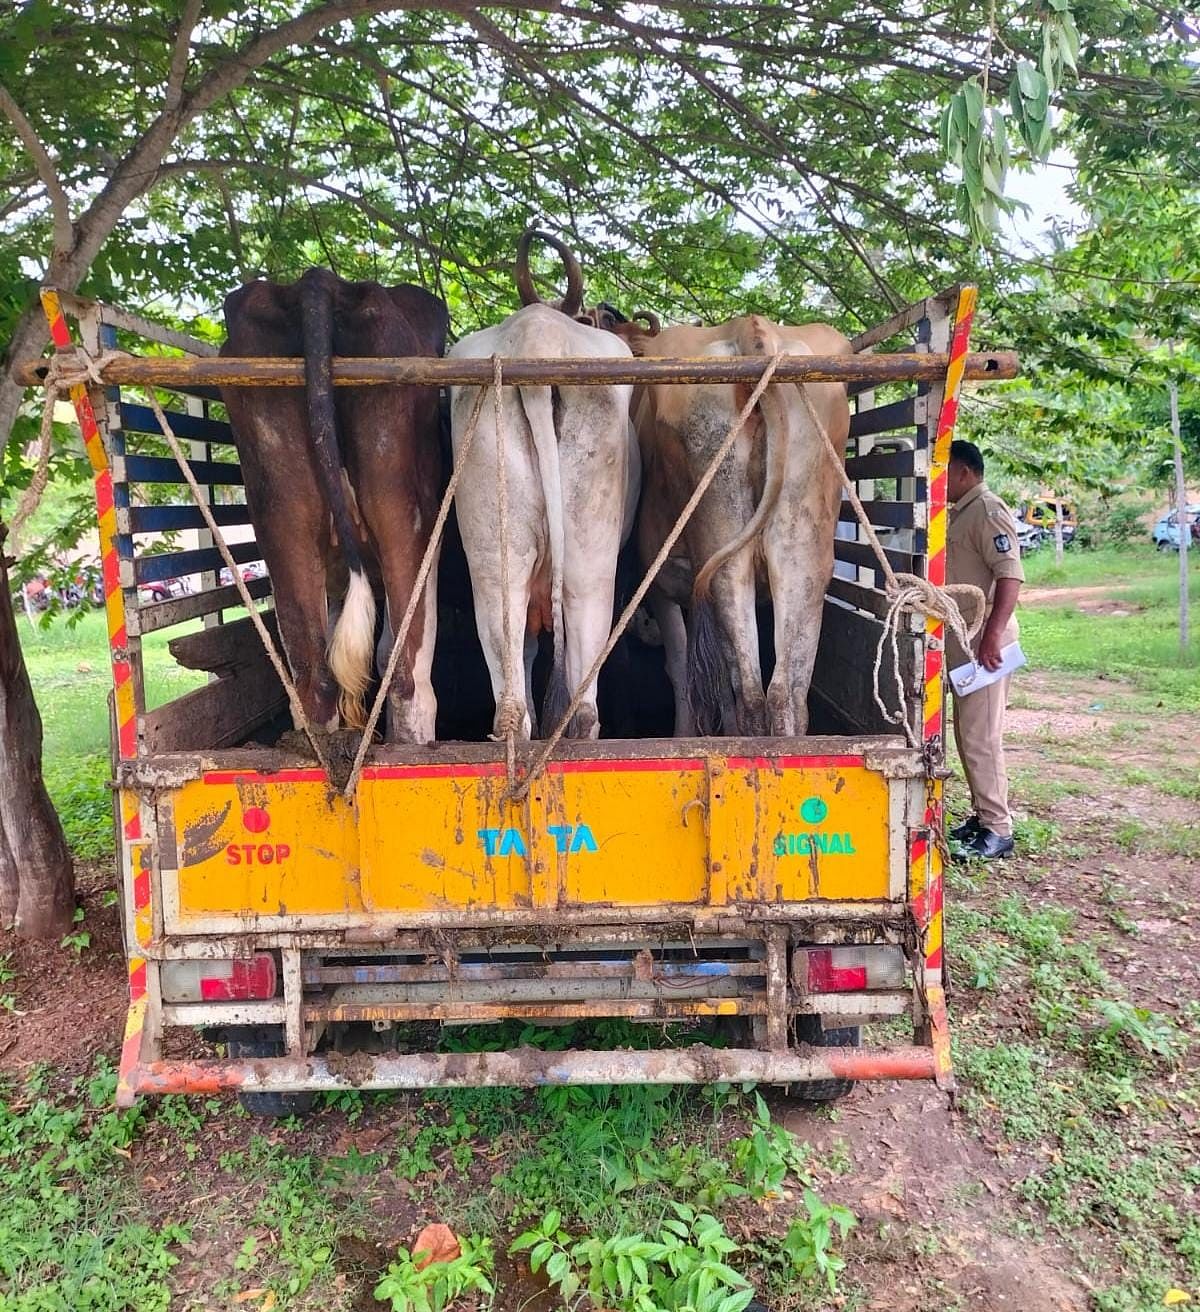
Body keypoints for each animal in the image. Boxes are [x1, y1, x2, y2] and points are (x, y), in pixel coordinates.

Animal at [619, 310, 855, 734]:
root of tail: (752, 329)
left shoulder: (661, 583)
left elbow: (682, 669)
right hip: (802, 548)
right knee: (784, 695)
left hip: (722, 554)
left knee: (749, 695)